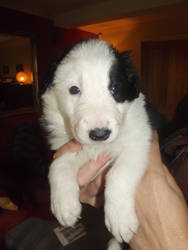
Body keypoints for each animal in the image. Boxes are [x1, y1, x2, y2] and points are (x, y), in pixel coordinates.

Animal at [40, 38, 153, 248]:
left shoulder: (138, 141)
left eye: (114, 88)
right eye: (74, 89)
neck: (98, 147)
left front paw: (120, 219)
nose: (100, 134)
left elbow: (119, 174)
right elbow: (58, 165)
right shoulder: (66, 146)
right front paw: (64, 205)